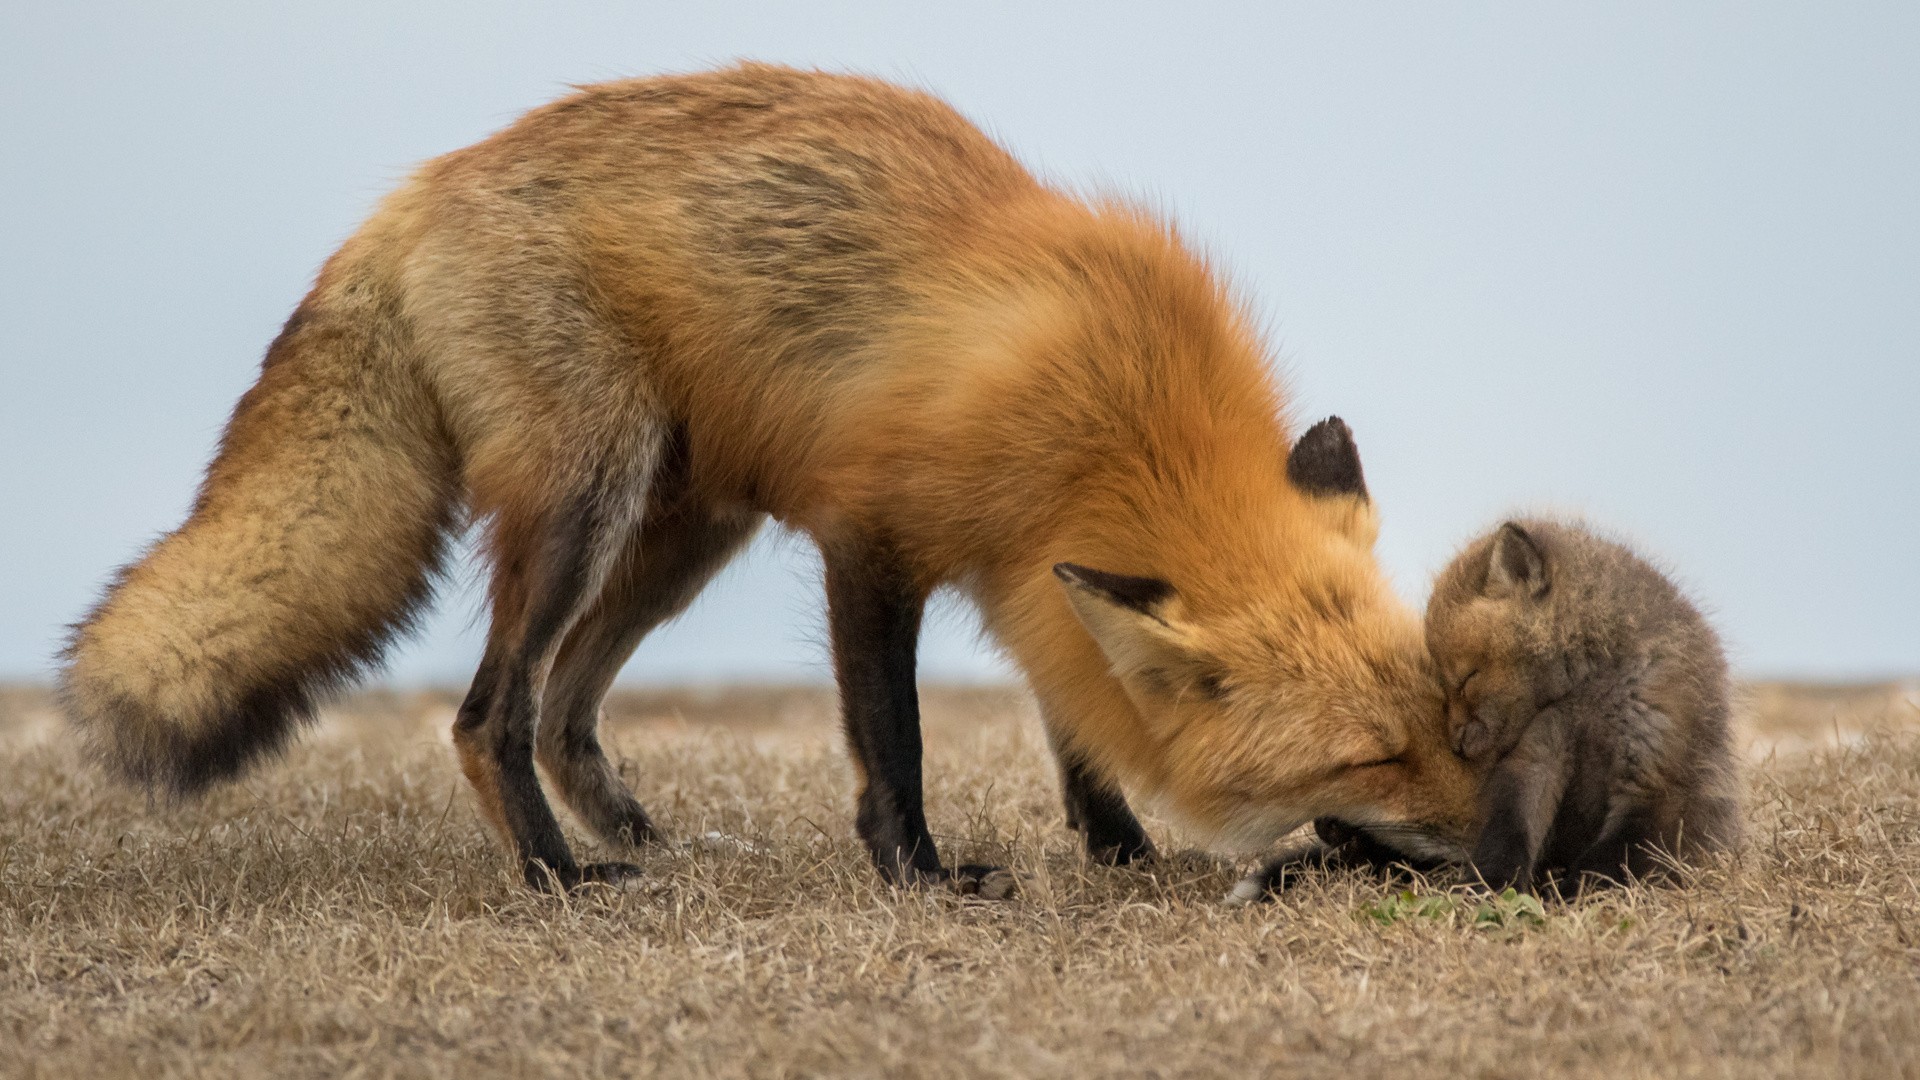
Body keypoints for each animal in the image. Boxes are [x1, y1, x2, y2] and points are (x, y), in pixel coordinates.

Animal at [60, 63, 1478, 895]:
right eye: (1368, 758)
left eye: (1450, 722)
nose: (1512, 848)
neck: (1113, 412)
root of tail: (415, 192)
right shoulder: (874, 541)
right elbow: (895, 740)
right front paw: (917, 876)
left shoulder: (1031, 572)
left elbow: (1073, 717)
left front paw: (1115, 845)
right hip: (589, 498)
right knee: (489, 714)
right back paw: (559, 877)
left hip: (686, 532)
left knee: (565, 710)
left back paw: (633, 835)